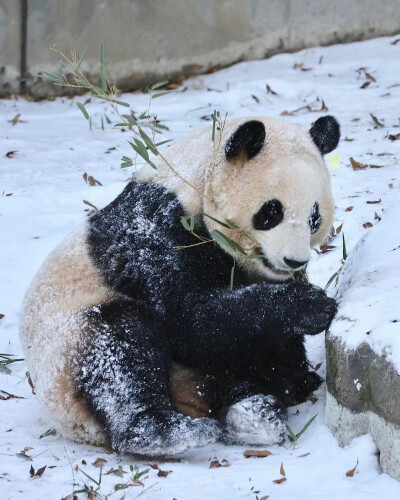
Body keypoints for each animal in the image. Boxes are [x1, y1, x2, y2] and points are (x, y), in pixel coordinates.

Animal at [18, 115, 338, 456]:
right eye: (271, 211)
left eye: (314, 217)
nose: (294, 260)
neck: (195, 178)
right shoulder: (156, 230)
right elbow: (190, 319)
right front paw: (310, 305)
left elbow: (267, 342)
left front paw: (297, 379)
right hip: (70, 342)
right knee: (120, 353)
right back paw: (166, 430)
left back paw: (254, 412)